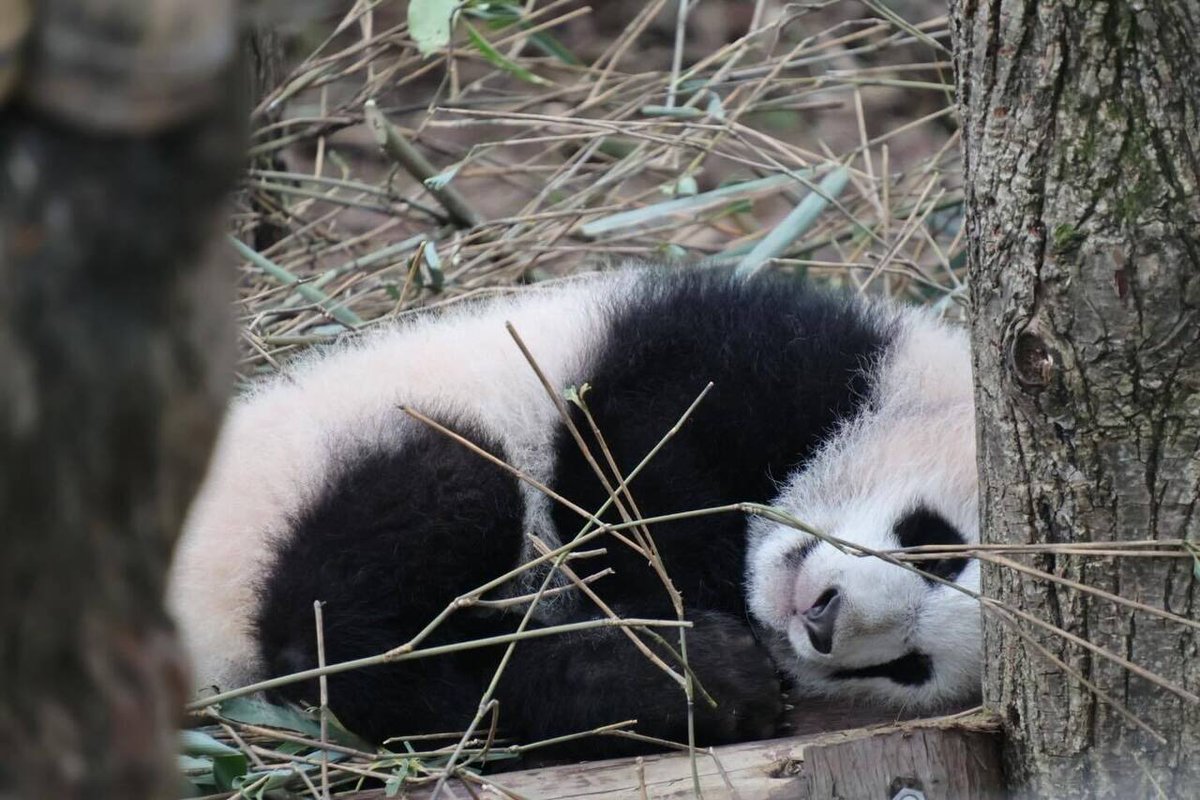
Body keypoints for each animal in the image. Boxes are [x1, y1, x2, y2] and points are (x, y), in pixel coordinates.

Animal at [167, 265, 981, 756]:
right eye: (936, 544)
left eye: (909, 668)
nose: (821, 622)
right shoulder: (756, 350)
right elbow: (632, 455)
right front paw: (677, 605)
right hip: (322, 466)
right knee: (363, 601)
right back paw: (692, 674)